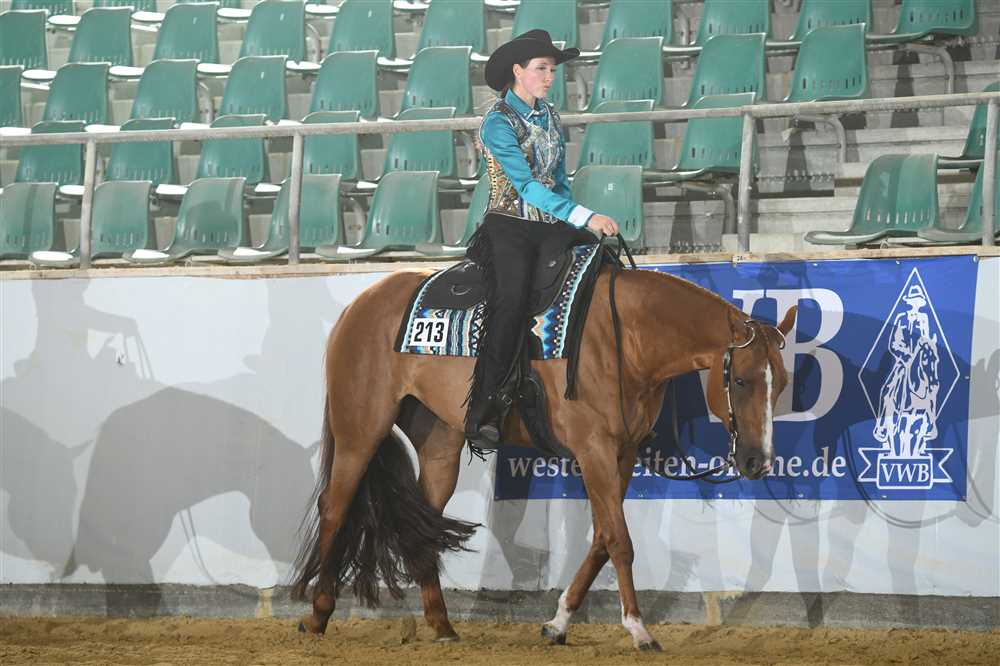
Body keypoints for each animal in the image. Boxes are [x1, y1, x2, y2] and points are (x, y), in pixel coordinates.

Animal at [291, 264, 797, 651]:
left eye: (784, 383)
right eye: (741, 380)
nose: (758, 461)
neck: (627, 339)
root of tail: (361, 304)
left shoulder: (622, 453)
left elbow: (602, 538)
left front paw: (557, 623)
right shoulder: (594, 449)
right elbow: (620, 540)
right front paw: (638, 629)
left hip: (439, 442)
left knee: (425, 522)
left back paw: (441, 624)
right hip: (360, 428)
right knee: (335, 508)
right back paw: (317, 615)